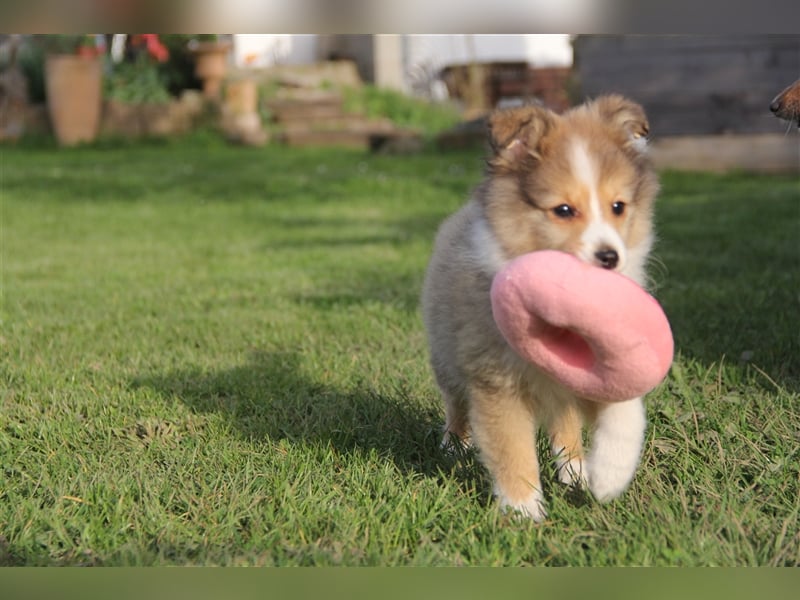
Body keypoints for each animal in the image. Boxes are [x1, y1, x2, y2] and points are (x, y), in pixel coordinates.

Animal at [422, 94, 660, 520]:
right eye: (563, 210)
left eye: (618, 206)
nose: (609, 257)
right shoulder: (495, 382)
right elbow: (512, 446)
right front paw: (523, 511)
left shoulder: (596, 369)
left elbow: (625, 409)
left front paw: (610, 473)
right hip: (446, 356)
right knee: (456, 404)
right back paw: (453, 445)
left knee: (564, 422)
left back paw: (576, 470)